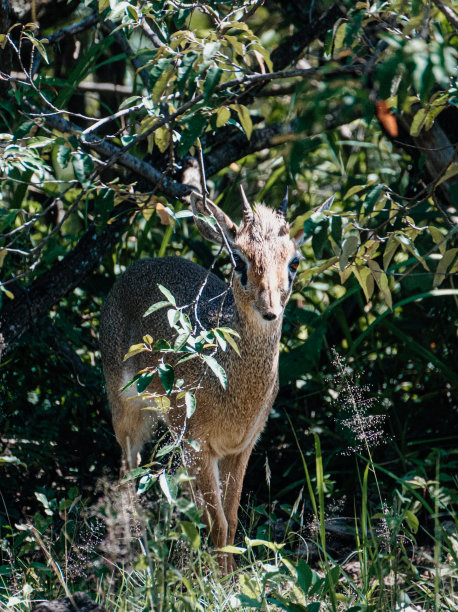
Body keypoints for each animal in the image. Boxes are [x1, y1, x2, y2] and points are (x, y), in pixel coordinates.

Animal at [99, 186, 306, 572]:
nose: (270, 309)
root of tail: (136, 265)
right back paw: (134, 557)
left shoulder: (241, 448)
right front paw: (219, 582)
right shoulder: (199, 446)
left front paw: (230, 577)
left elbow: (231, 518)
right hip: (127, 413)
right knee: (126, 476)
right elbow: (218, 523)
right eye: (238, 259)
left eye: (293, 261)